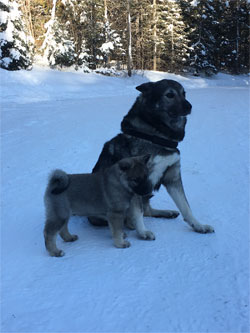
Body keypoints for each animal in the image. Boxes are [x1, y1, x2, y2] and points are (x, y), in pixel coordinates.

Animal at [89, 79, 215, 233]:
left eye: (184, 94)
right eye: (169, 95)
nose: (189, 106)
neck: (156, 136)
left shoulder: (173, 177)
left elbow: (185, 206)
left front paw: (198, 225)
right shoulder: (137, 180)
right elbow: (138, 212)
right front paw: (142, 232)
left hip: (147, 193)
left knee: (148, 210)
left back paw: (167, 213)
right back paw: (130, 224)